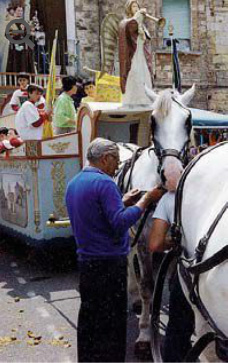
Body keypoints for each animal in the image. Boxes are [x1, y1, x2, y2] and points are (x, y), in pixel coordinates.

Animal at [116, 84, 196, 356]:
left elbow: (170, 283)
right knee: (129, 261)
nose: (172, 175)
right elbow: (148, 286)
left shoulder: (173, 244)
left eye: (188, 120)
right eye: (153, 120)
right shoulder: (143, 241)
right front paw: (144, 334)